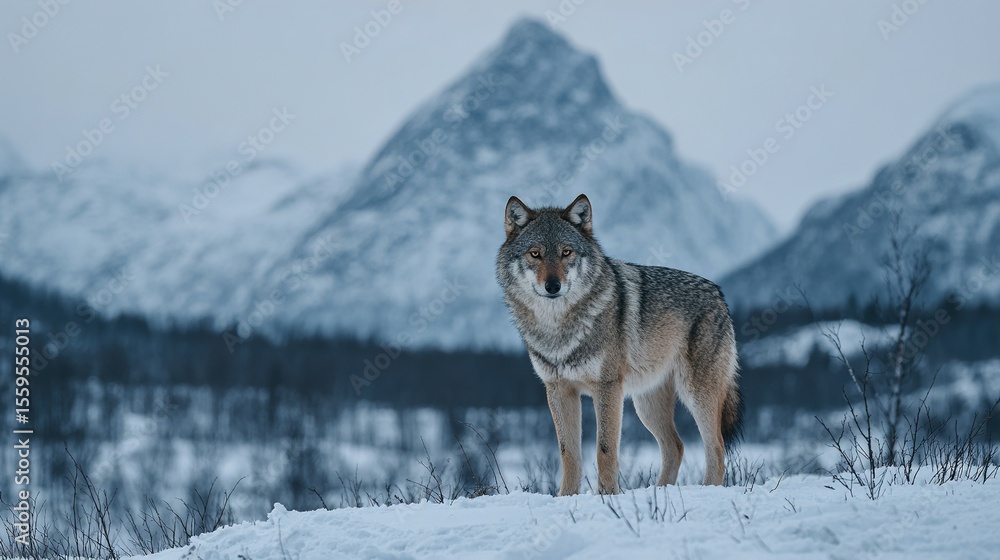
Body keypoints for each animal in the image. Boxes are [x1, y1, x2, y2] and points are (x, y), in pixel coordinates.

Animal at [496, 194, 742, 495]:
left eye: (566, 252)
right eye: (535, 253)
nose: (552, 286)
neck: (559, 328)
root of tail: (718, 293)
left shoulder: (608, 387)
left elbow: (605, 449)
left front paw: (608, 495)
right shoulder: (558, 389)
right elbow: (568, 452)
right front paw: (566, 496)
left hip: (695, 393)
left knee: (716, 447)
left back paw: (707, 491)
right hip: (646, 404)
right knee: (676, 446)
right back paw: (660, 492)